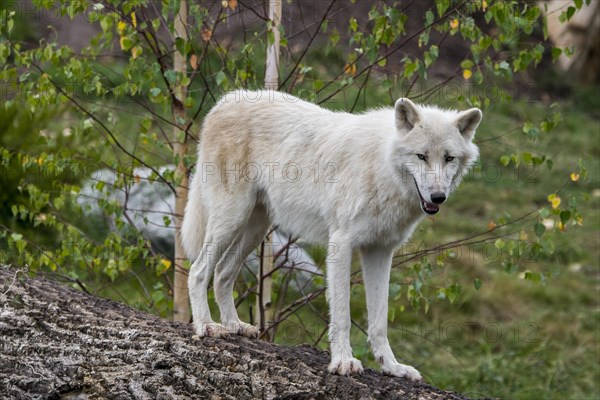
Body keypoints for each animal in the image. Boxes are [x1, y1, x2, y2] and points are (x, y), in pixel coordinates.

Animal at [180, 90, 480, 382]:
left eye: (449, 158)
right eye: (421, 156)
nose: (438, 197)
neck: (382, 168)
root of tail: (224, 101)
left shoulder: (380, 251)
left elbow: (379, 321)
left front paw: (392, 367)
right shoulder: (341, 243)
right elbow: (342, 315)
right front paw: (343, 362)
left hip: (255, 228)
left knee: (222, 273)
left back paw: (235, 325)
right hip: (231, 219)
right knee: (198, 271)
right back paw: (207, 325)